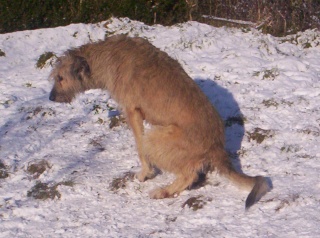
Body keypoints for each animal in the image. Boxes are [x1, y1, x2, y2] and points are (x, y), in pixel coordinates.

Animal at [49, 34, 270, 208]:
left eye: (60, 78)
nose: (50, 97)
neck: (104, 57)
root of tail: (217, 147)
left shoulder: (133, 111)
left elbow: (139, 146)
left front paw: (144, 173)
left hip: (156, 138)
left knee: (188, 174)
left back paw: (164, 191)